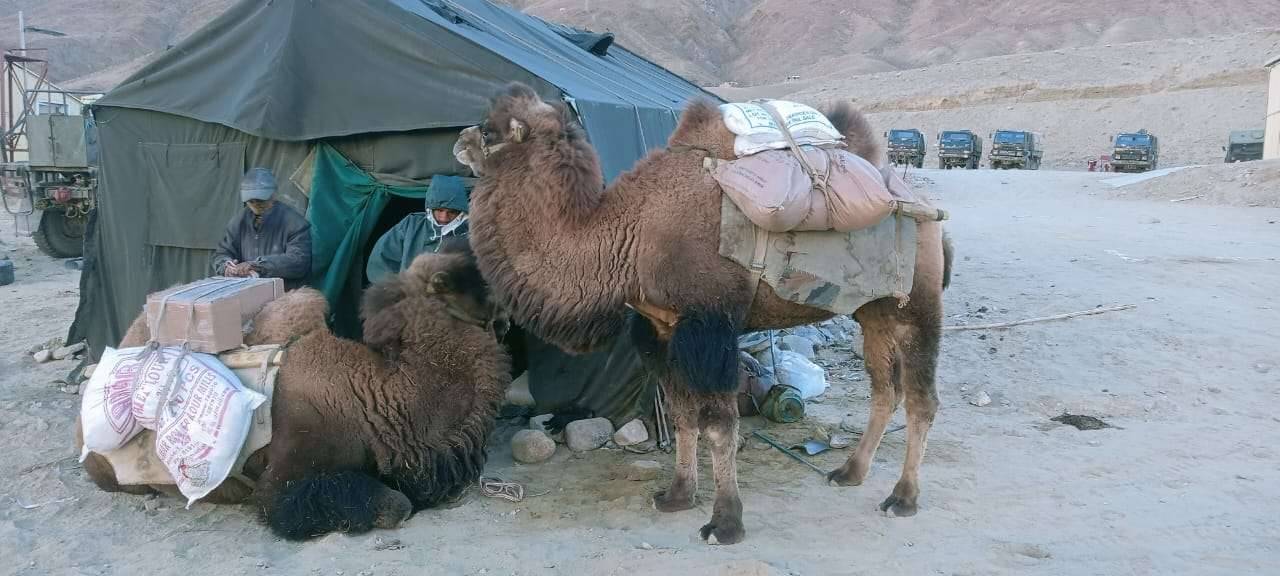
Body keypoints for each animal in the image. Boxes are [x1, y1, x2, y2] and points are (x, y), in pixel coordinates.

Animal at [453, 81, 952, 545]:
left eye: (489, 130)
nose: (459, 140)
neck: (630, 235)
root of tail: (923, 207)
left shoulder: (710, 326)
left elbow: (718, 424)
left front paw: (725, 523)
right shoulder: (662, 329)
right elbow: (683, 415)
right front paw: (676, 495)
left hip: (919, 305)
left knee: (922, 398)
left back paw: (902, 497)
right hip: (874, 310)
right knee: (885, 390)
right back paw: (849, 472)